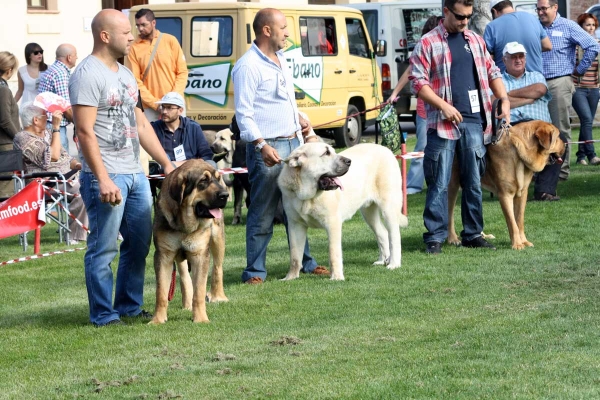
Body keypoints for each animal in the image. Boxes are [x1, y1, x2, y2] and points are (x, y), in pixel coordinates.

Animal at [152, 158, 230, 324]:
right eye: (203, 181)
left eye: (217, 179)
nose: (225, 195)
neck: (184, 224)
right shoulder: (163, 255)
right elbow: (161, 292)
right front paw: (157, 320)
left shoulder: (200, 255)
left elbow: (199, 291)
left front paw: (200, 318)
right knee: (184, 276)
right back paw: (187, 304)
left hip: (218, 240)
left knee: (217, 268)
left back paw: (218, 296)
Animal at [276, 142, 408, 280]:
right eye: (326, 153)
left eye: (332, 151)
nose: (349, 161)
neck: (307, 197)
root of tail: (385, 149)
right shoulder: (295, 225)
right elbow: (295, 256)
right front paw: (290, 277)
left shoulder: (333, 223)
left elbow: (333, 253)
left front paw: (337, 277)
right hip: (368, 213)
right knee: (382, 233)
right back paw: (383, 260)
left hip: (388, 207)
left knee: (394, 236)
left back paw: (394, 263)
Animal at [448, 120, 564, 248]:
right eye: (557, 137)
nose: (565, 145)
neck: (519, 152)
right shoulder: (505, 195)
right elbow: (512, 222)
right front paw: (517, 244)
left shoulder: (522, 194)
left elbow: (519, 220)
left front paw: (524, 241)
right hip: (452, 187)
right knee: (449, 214)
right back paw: (453, 239)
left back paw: (483, 235)